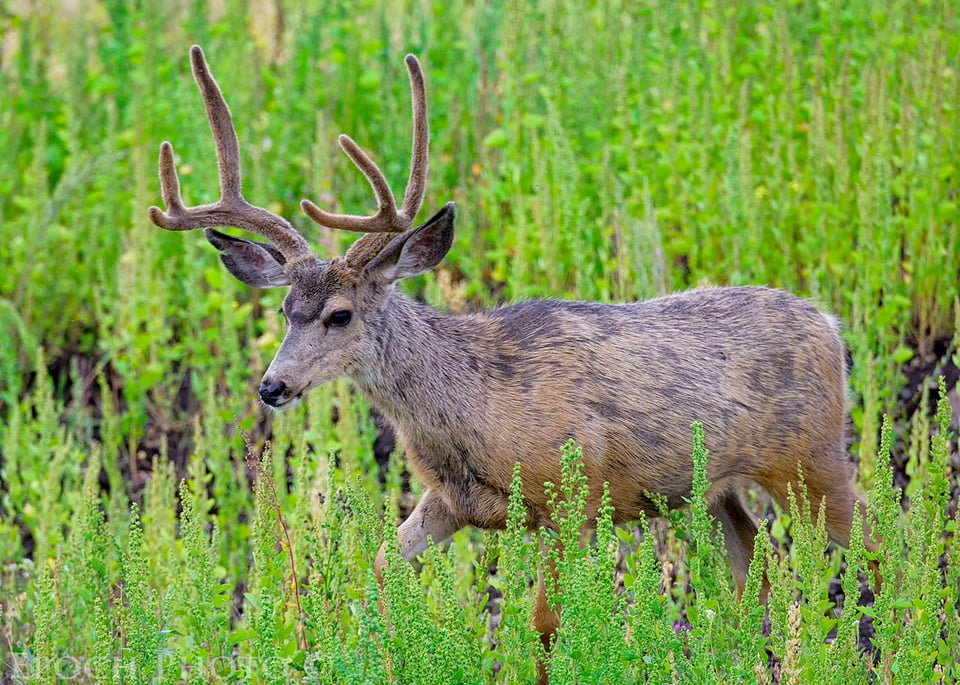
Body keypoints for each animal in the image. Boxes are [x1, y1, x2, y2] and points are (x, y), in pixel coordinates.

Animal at [148, 44, 872, 656]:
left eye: (339, 314)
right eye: (284, 310)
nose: (272, 387)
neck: (477, 404)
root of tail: (831, 325)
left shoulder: (567, 499)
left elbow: (545, 625)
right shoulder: (451, 500)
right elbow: (379, 566)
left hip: (809, 457)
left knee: (874, 539)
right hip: (714, 485)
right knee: (754, 556)